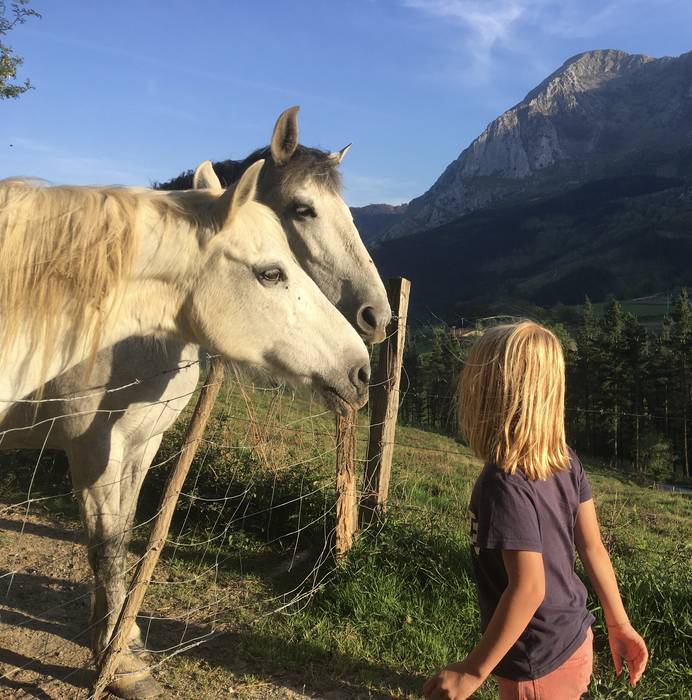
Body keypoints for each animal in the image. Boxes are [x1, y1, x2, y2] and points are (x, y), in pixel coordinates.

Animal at [0, 106, 390, 696]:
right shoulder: (92, 450)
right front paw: (121, 665)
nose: (377, 318)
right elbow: (105, 546)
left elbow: (125, 536)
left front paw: (120, 639)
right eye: (304, 209)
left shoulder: (142, 443)